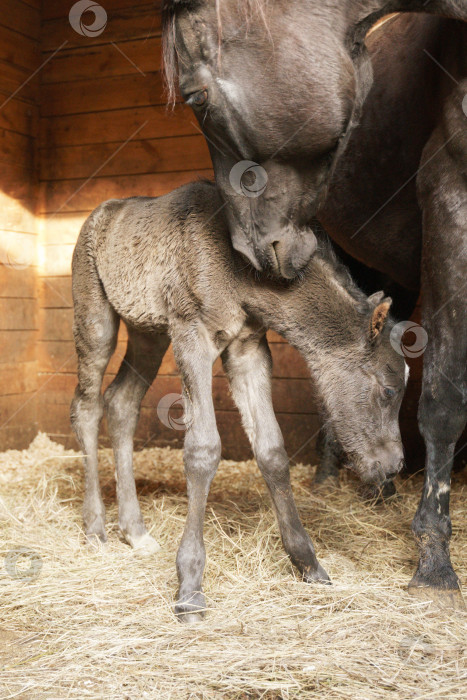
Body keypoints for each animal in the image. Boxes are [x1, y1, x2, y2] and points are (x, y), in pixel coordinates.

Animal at [71, 179, 408, 616]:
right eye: (388, 389)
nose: (394, 464)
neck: (243, 272)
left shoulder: (248, 346)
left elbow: (271, 450)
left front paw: (308, 563)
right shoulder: (191, 333)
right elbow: (202, 450)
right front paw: (190, 587)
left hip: (148, 331)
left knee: (121, 402)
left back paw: (135, 531)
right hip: (95, 317)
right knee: (87, 405)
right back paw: (96, 528)